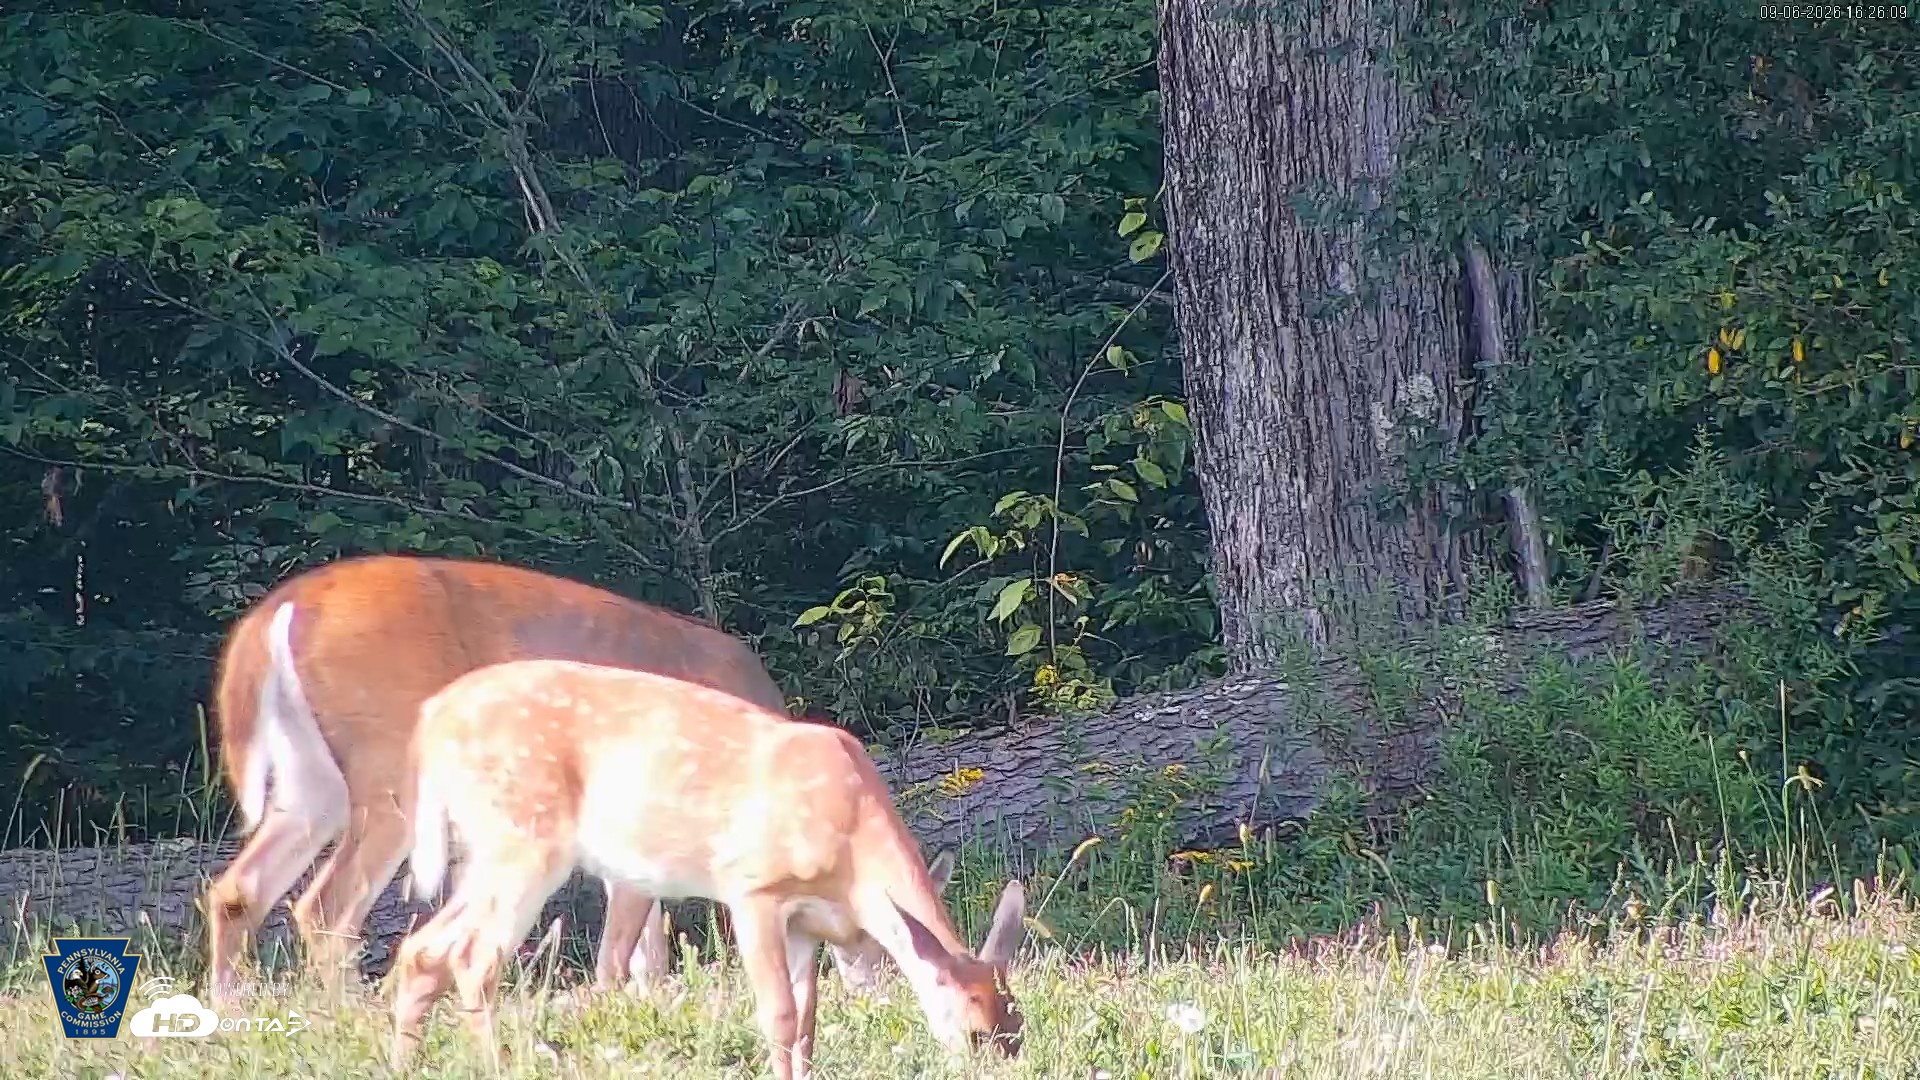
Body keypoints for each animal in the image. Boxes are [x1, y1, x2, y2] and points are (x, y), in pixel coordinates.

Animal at [202, 553, 952, 1008]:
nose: (879, 989)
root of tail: (280, 610)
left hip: (311, 782)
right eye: (883, 930)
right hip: (391, 769)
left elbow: (647, 948)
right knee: (324, 907)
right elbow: (622, 948)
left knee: (238, 890)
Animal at [392, 658, 1027, 1080]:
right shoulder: (754, 889)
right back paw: (497, 1065)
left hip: (485, 848)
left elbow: (807, 1021)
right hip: (523, 837)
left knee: (422, 949)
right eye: (975, 1034)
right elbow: (778, 1013)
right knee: (474, 957)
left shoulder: (806, 923)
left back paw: (403, 1063)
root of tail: (429, 718)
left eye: (1016, 1028)